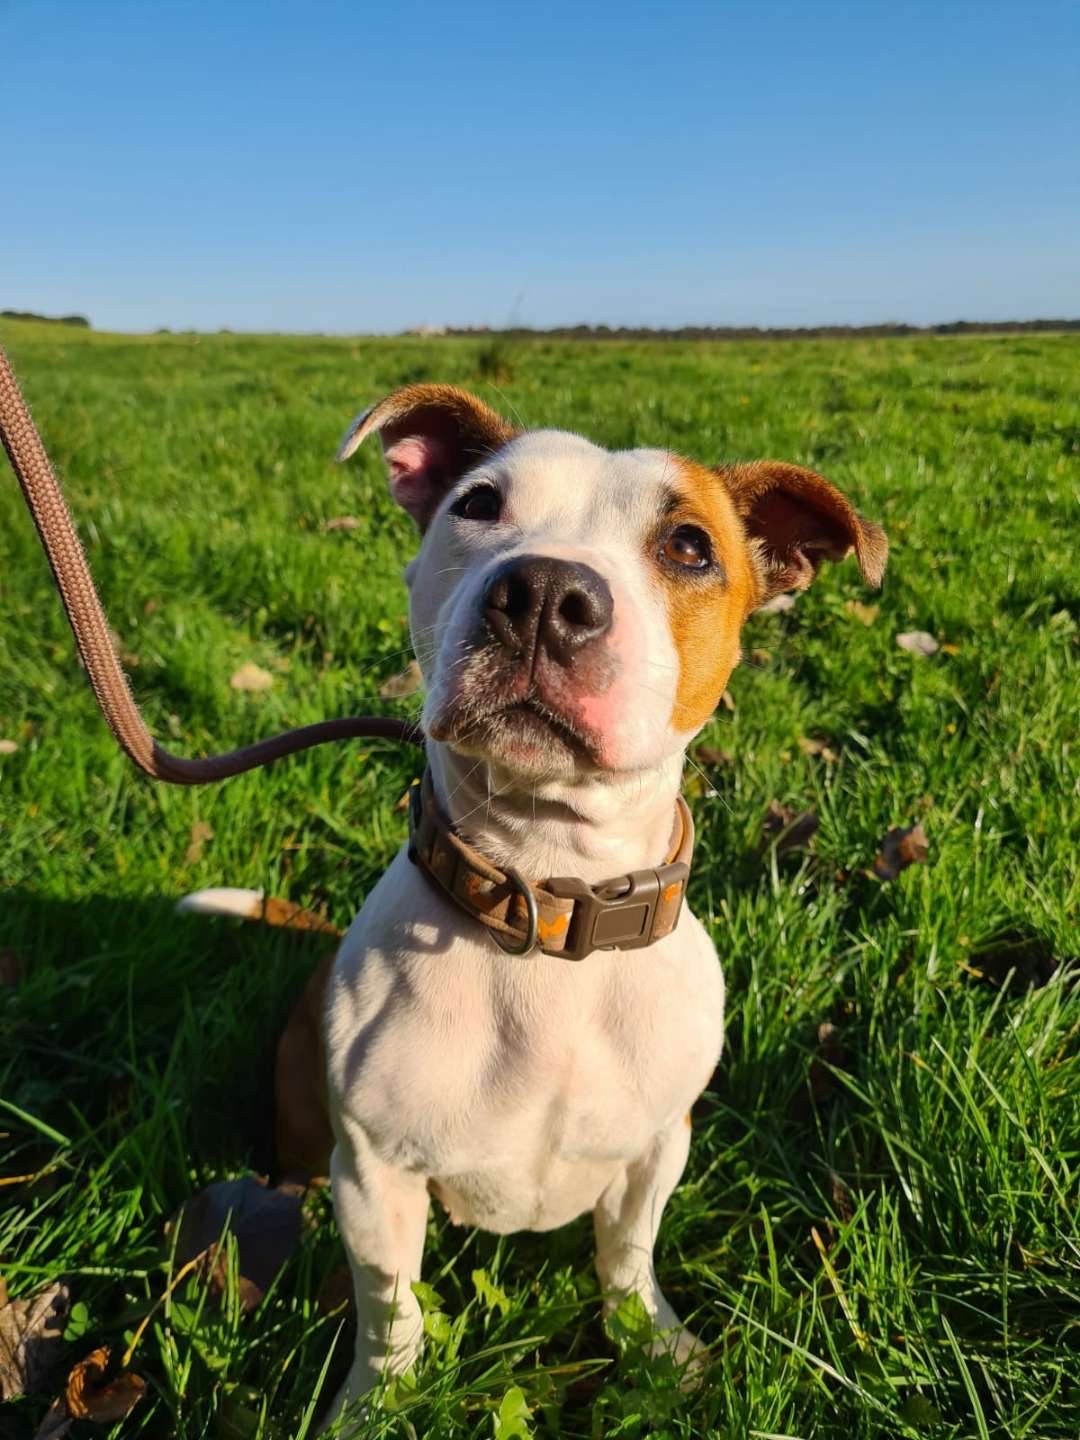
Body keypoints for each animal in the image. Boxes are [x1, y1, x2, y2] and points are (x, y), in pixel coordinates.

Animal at [188, 383, 886, 1426]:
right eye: (478, 503)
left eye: (690, 546)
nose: (547, 594)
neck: (554, 904)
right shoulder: (376, 1176)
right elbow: (391, 1307)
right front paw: (374, 1405)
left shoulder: (655, 1149)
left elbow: (627, 1257)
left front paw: (656, 1349)